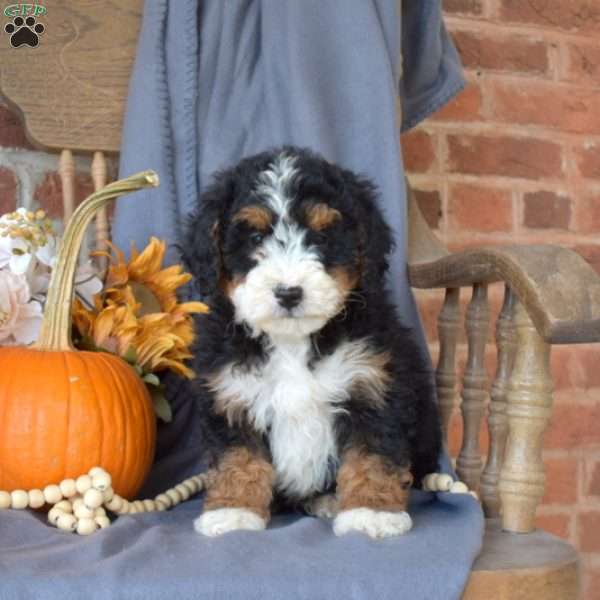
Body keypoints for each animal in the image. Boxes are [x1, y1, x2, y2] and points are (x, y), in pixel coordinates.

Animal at [183, 145, 440, 540]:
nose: (289, 293)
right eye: (255, 239)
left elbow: (372, 454)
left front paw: (371, 512)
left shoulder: (374, 387)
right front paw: (233, 510)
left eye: (321, 239)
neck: (292, 340)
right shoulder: (231, 393)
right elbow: (239, 458)